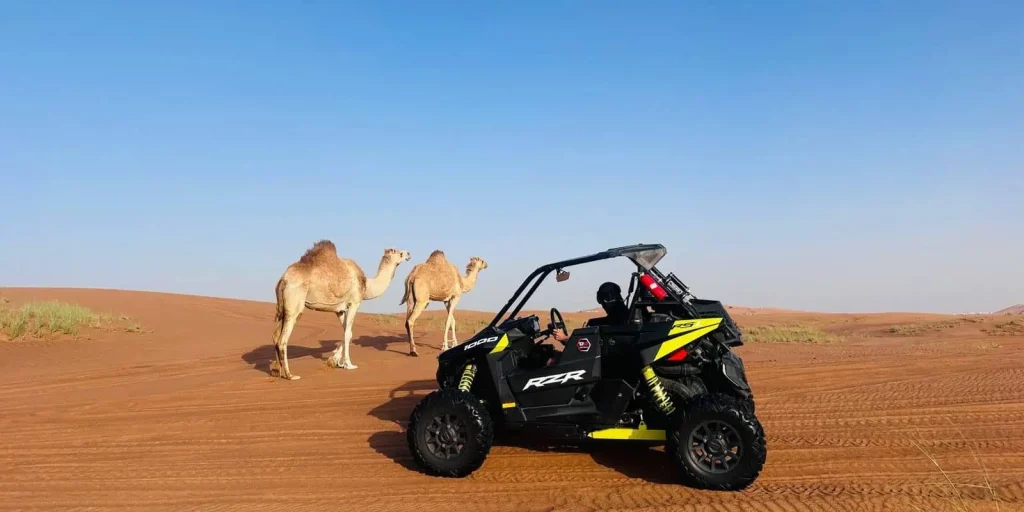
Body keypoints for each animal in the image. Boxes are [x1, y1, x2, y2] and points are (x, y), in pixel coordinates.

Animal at [274, 240, 413, 380]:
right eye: (400, 253)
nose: (409, 253)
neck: (366, 285)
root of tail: (283, 280)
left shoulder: (340, 310)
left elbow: (348, 332)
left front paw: (334, 361)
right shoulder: (354, 303)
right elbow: (347, 334)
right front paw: (348, 364)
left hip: (283, 309)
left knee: (275, 336)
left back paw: (277, 371)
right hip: (294, 305)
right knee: (283, 340)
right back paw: (290, 375)